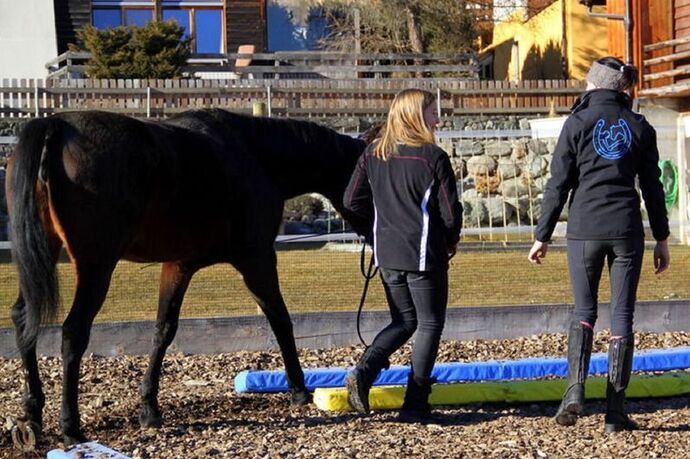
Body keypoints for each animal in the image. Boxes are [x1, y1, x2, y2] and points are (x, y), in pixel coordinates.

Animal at [6, 108, 367, 446]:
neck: (255, 154)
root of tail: (56, 126)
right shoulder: (257, 259)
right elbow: (280, 319)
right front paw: (299, 390)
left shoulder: (178, 265)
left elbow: (163, 330)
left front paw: (149, 409)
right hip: (96, 265)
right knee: (73, 332)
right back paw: (70, 427)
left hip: (43, 255)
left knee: (24, 318)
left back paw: (32, 413)